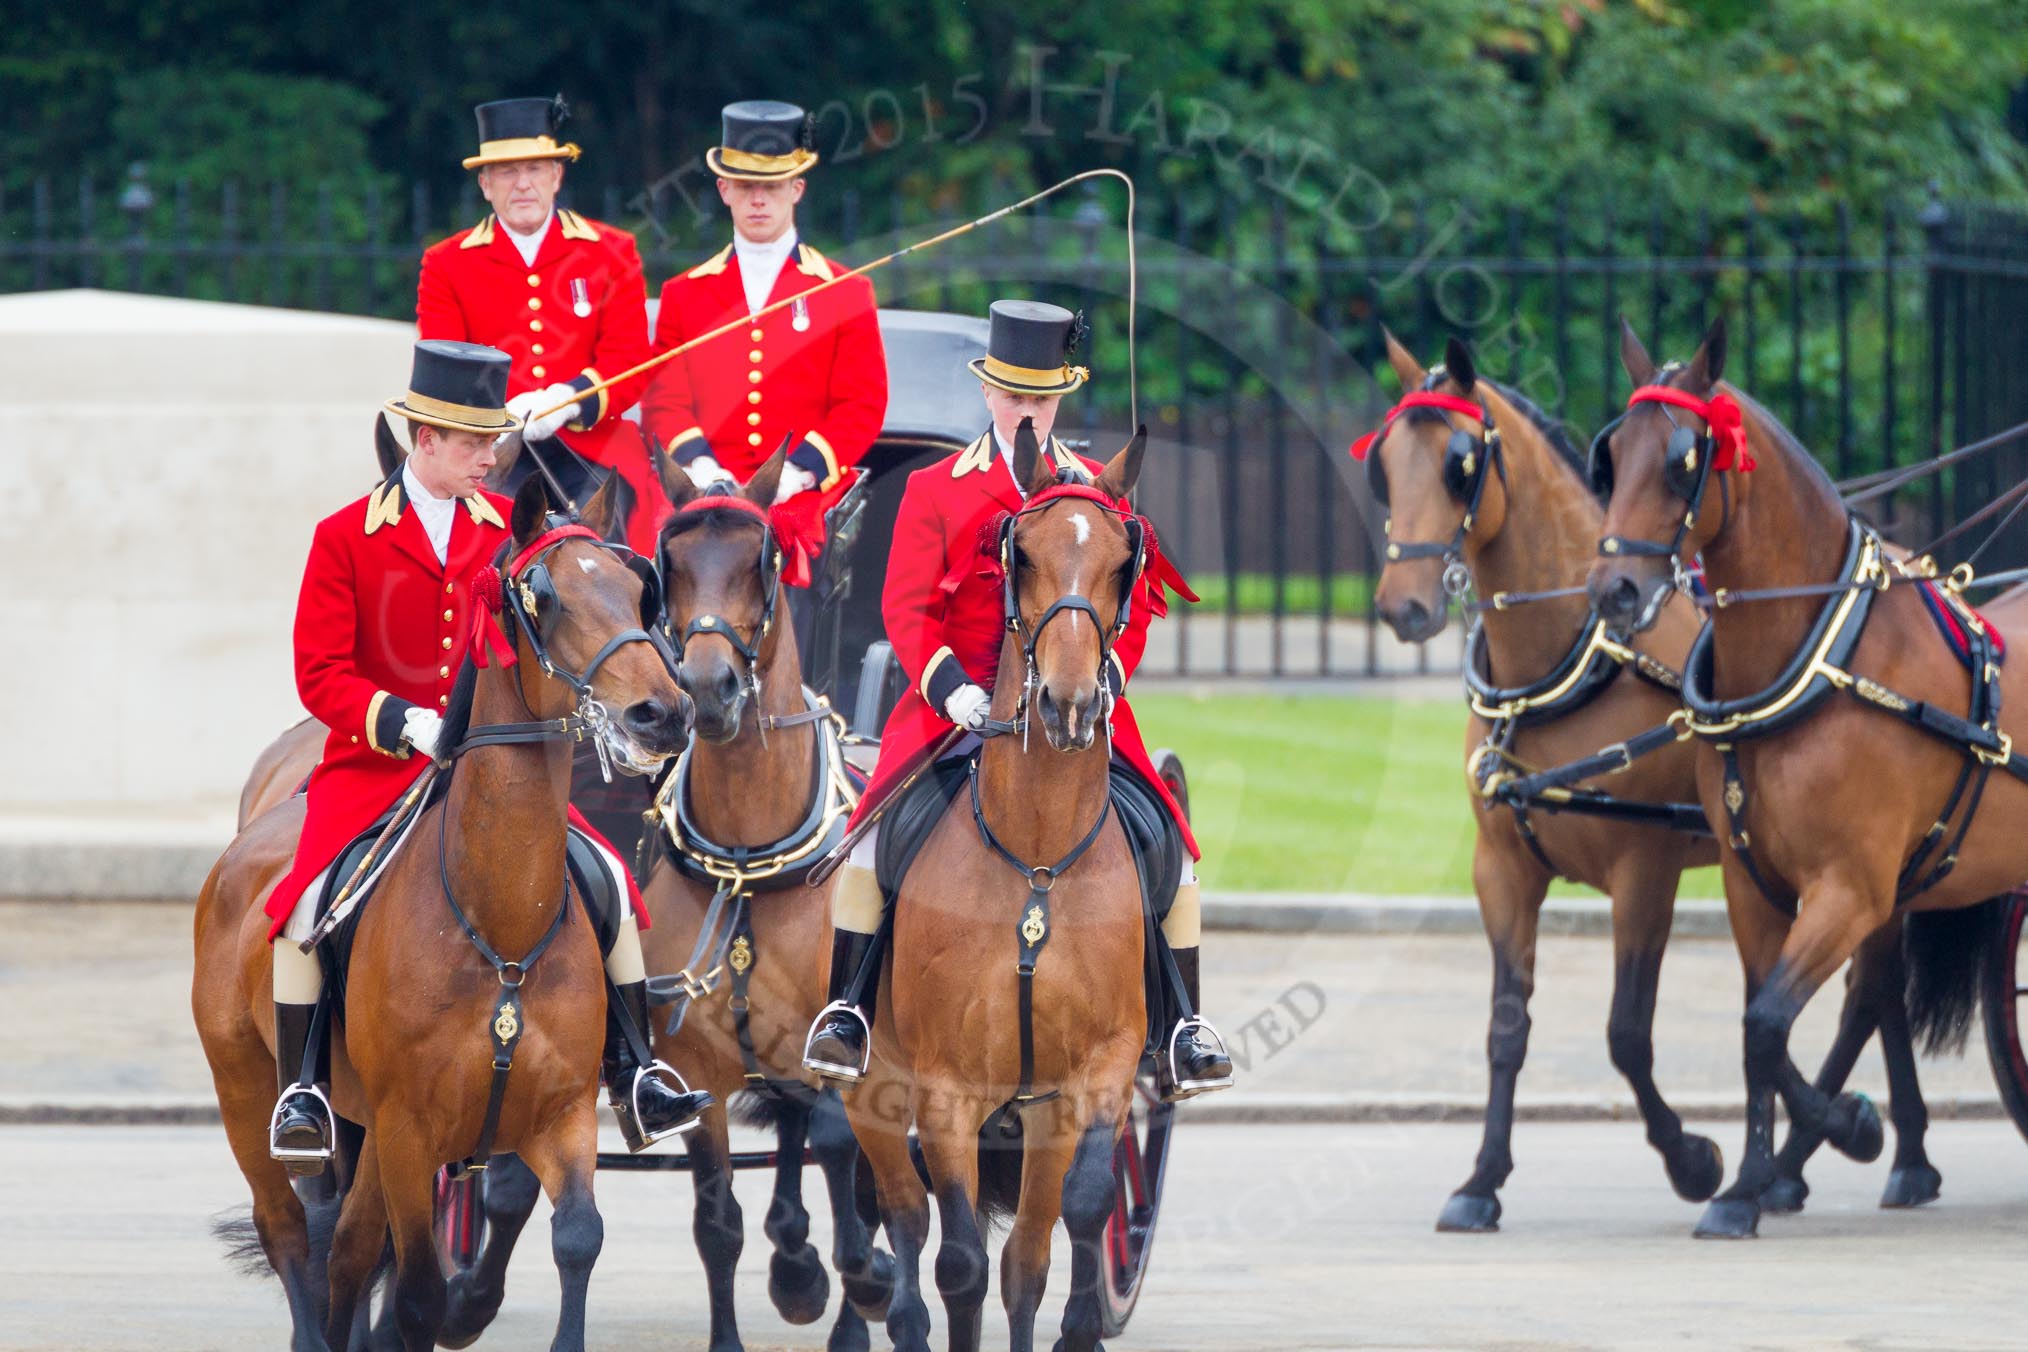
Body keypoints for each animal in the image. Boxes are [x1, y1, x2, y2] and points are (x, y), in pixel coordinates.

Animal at [197, 474, 689, 1345]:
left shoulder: (559, 1117)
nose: (662, 714)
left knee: (349, 1251)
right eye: (547, 597)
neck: (499, 921)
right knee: (290, 1231)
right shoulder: (406, 1132)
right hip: (249, 1096)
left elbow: (577, 1238)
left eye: (639, 591)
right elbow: (419, 1292)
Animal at [1370, 332, 1719, 1232]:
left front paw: (1693, 1160)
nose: (1403, 608)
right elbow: (1506, 1026)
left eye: (1460, 464)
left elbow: (1627, 1033)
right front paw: (1482, 1179)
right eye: (1384, 464)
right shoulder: (1503, 870)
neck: (1574, 656)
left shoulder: (1646, 873)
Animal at [1581, 320, 2028, 1240]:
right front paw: (1750, 1182)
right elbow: (1765, 1030)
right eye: (1611, 455)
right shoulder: (1757, 885)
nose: (1614, 590)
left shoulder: (1850, 888)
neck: (1818, 658)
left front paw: (1849, 1128)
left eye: (1684, 459)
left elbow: (1766, 1025)